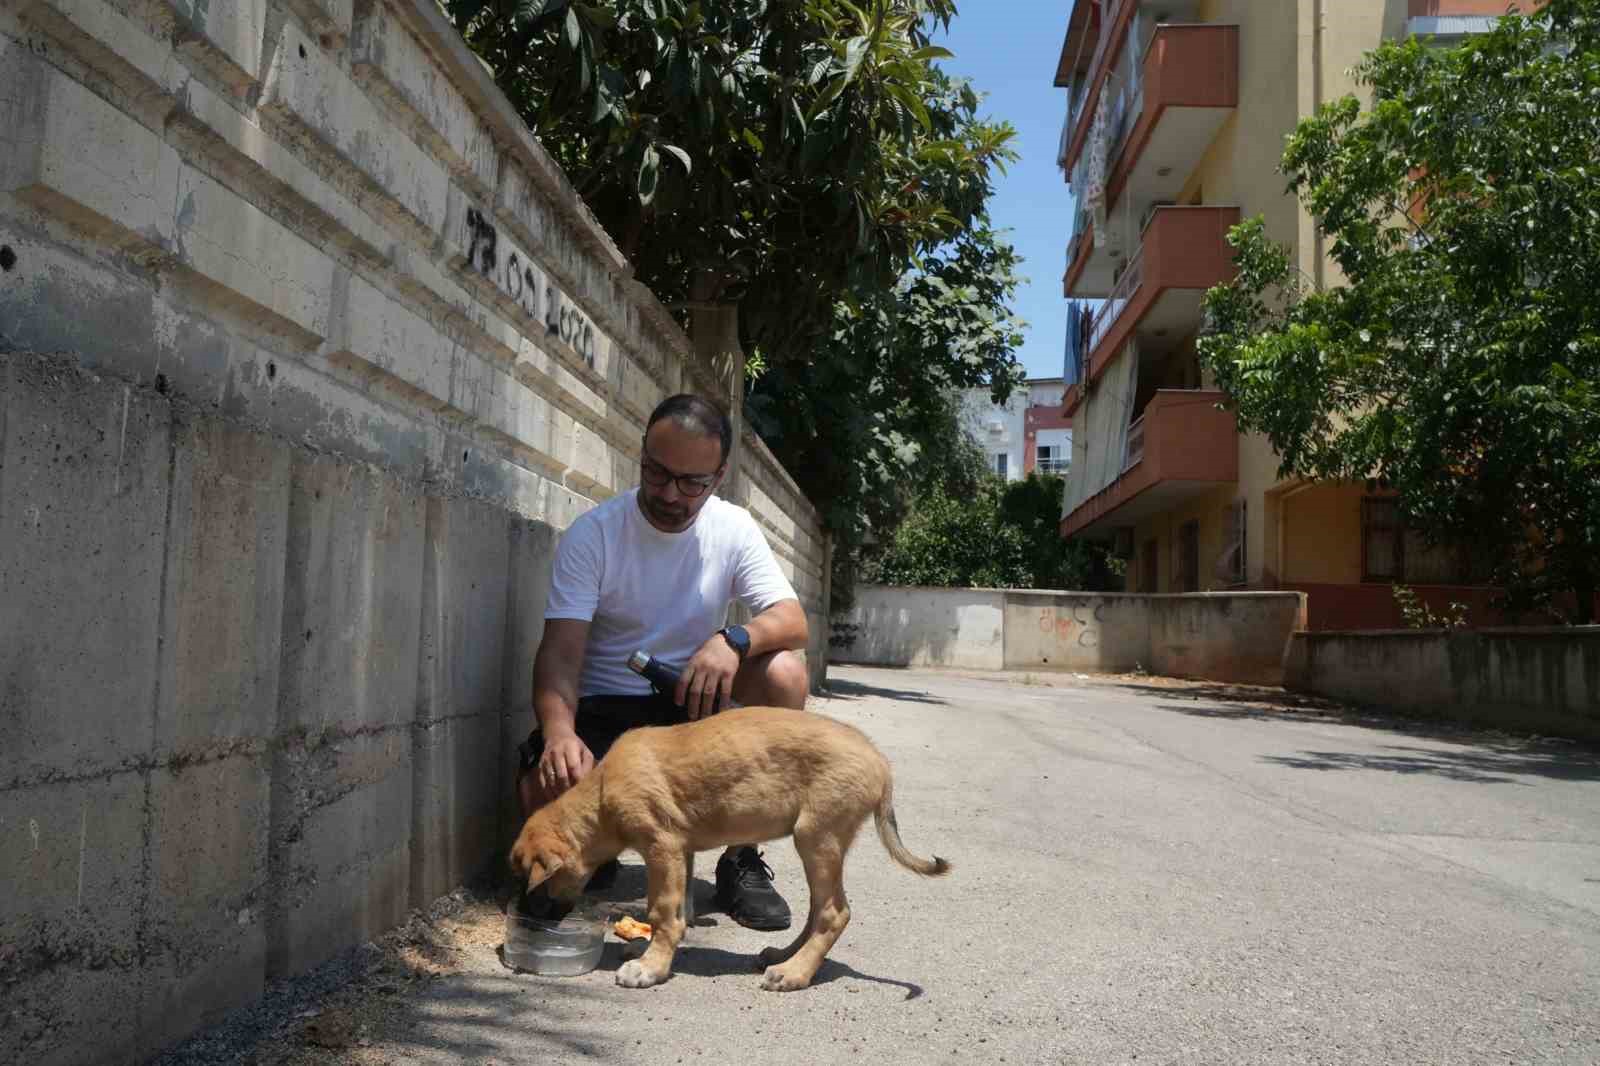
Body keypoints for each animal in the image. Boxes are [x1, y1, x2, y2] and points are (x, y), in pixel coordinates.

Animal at [508, 704, 947, 985]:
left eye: (534, 882)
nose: (529, 917)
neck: (600, 796)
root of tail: (880, 762)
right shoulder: (681, 851)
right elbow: (680, 910)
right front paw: (653, 950)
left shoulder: (661, 846)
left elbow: (661, 911)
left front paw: (651, 968)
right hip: (819, 847)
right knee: (818, 909)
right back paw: (784, 956)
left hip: (817, 837)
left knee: (834, 912)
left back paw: (795, 973)